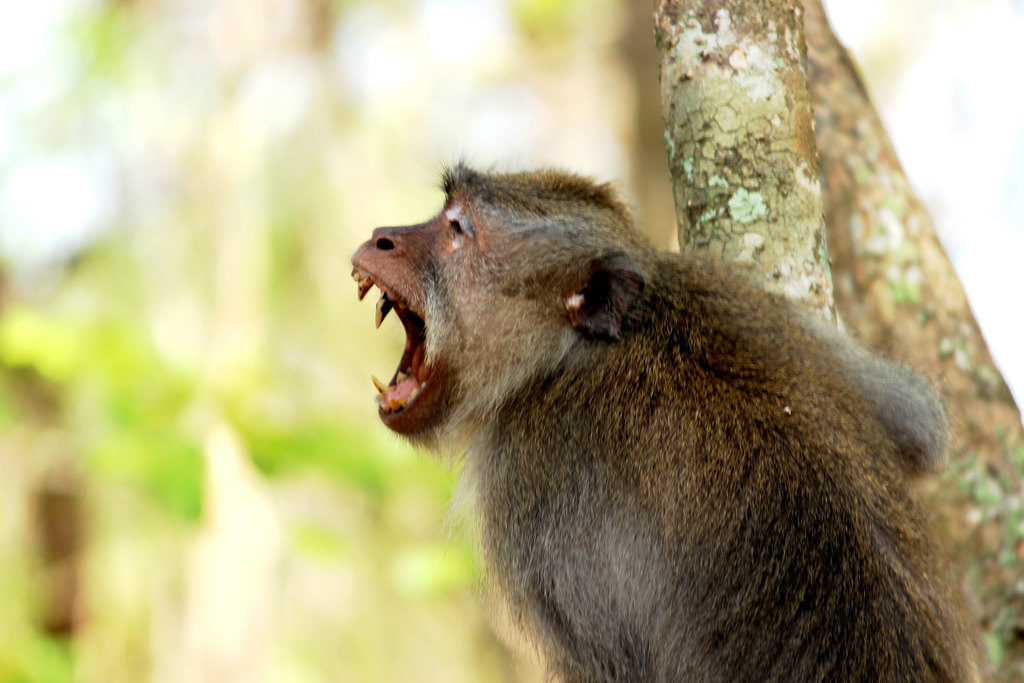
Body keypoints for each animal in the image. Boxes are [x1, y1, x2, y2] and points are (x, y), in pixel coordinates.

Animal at [350, 165, 978, 681]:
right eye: (444, 212)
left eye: (458, 228)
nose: (382, 237)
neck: (571, 357)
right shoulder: (726, 290)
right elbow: (920, 424)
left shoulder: (534, 473)